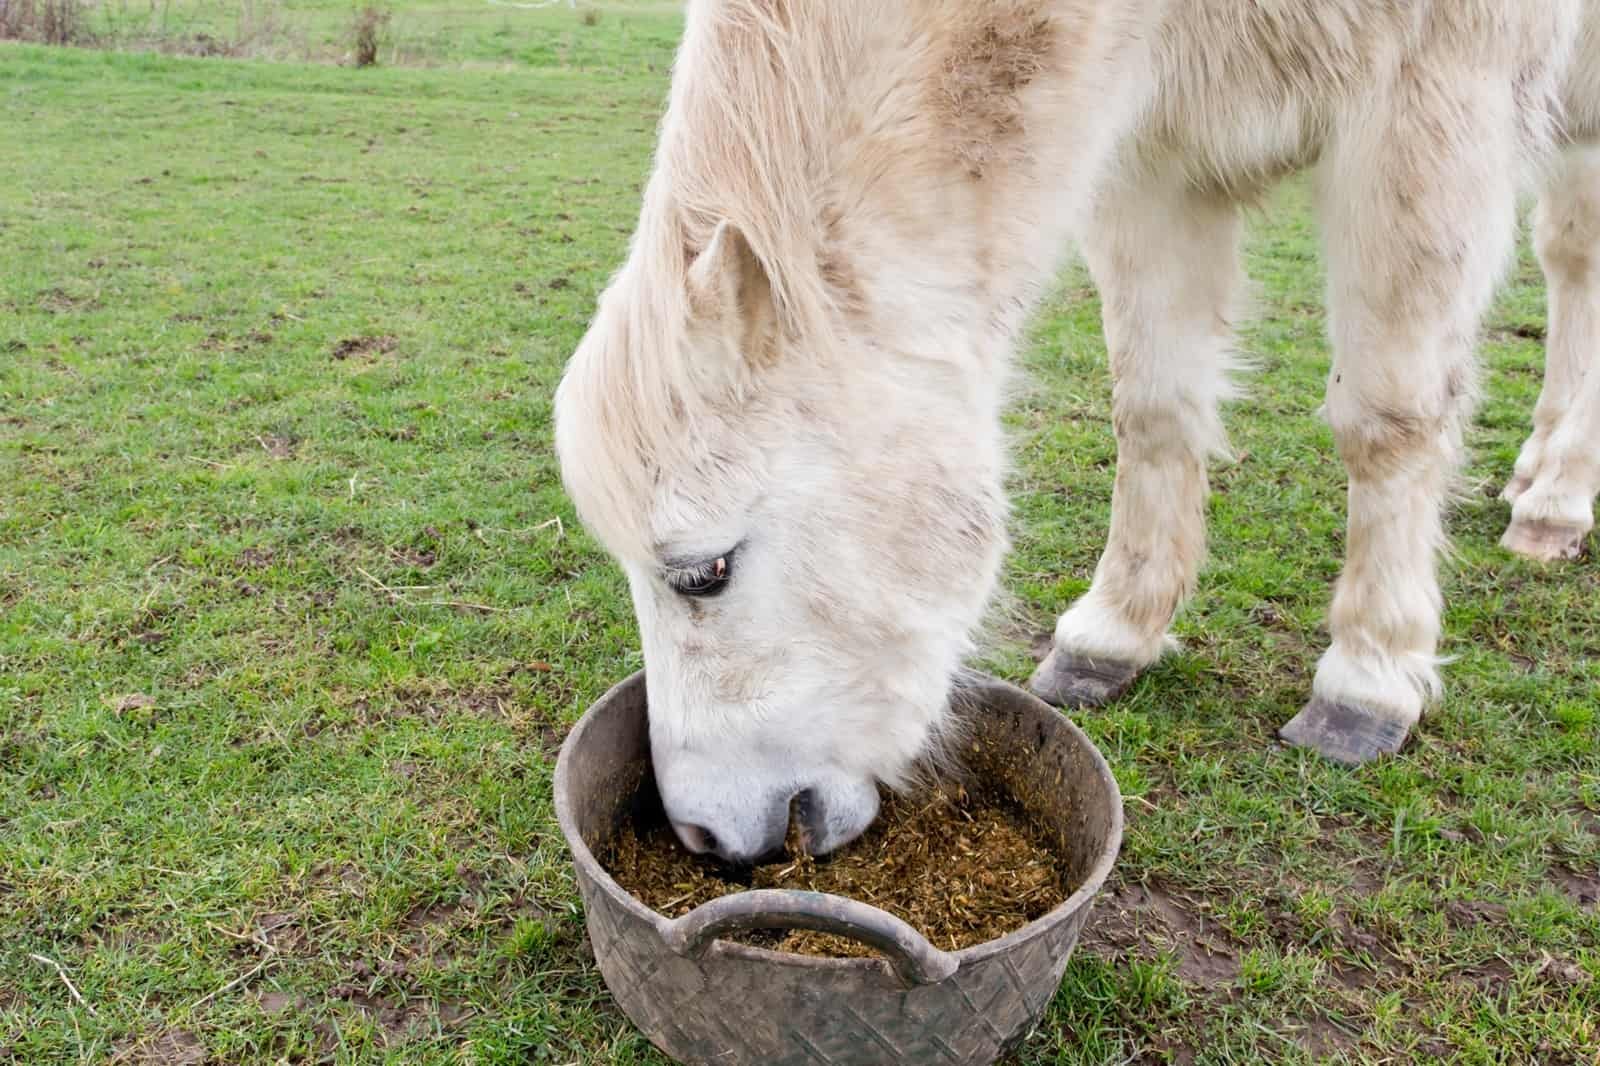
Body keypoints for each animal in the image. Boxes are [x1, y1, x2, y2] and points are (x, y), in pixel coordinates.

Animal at [553, 0, 1600, 857]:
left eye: (706, 572)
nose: (699, 834)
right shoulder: (1158, 156)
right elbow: (1154, 406)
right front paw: (1114, 636)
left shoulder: (1426, 105)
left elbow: (1388, 418)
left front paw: (1368, 679)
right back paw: (1538, 473)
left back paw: (1554, 502)